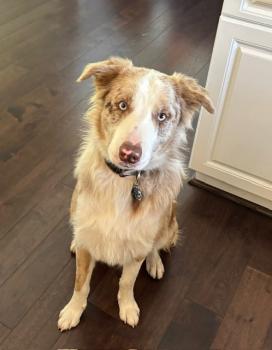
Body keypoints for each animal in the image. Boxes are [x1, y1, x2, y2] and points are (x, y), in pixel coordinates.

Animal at [58, 56, 215, 330]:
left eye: (162, 116)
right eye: (122, 105)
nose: (129, 154)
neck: (123, 182)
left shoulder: (138, 247)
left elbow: (127, 282)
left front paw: (128, 308)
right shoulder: (87, 241)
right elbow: (80, 283)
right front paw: (73, 311)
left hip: (169, 225)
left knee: (157, 247)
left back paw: (155, 264)